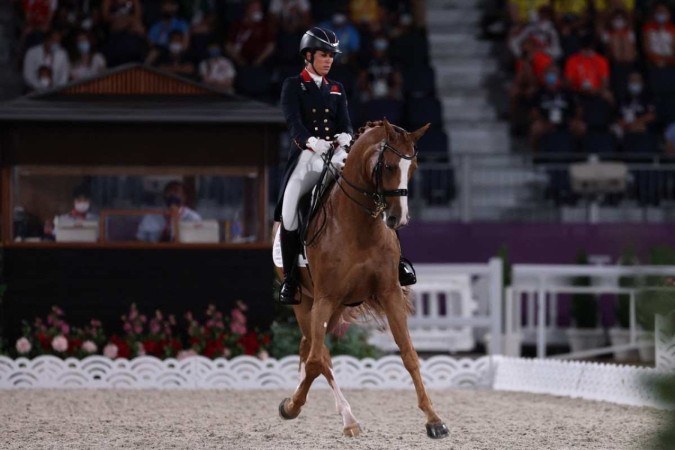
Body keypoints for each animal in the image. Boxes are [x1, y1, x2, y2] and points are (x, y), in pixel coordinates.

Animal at [274, 118, 448, 440]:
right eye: (389, 166)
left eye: (414, 167)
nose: (398, 219)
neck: (359, 225)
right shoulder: (325, 298)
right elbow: (317, 361)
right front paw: (292, 407)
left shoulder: (390, 293)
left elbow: (409, 354)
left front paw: (434, 420)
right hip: (306, 302)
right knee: (318, 353)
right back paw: (343, 417)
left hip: (338, 306)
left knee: (310, 346)